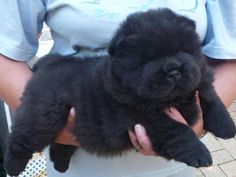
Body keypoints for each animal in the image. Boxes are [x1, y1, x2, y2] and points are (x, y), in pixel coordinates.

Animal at [4, 7, 236, 176]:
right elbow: (177, 130)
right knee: (22, 138)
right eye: (147, 60)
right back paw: (12, 166)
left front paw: (226, 127)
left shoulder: (199, 80)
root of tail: (49, 62)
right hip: (45, 114)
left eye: (183, 50)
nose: (173, 71)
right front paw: (199, 153)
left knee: (60, 144)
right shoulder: (144, 118)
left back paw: (60, 164)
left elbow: (211, 99)